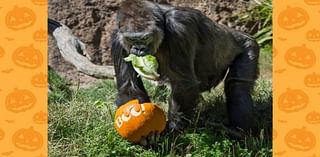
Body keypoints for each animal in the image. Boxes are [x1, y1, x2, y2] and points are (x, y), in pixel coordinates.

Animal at [112, 0, 260, 134]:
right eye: (131, 39)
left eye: (145, 38)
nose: (139, 49)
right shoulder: (117, 39)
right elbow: (129, 87)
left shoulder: (179, 27)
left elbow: (183, 84)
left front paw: (171, 131)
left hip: (249, 45)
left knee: (237, 85)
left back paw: (237, 130)